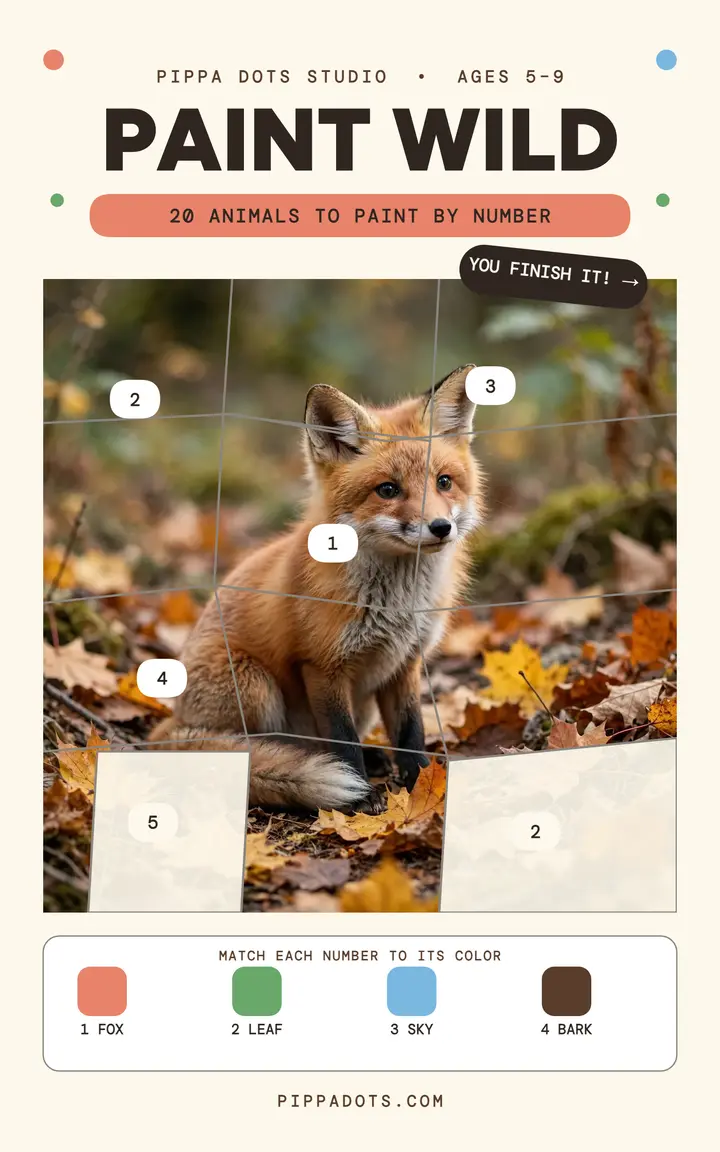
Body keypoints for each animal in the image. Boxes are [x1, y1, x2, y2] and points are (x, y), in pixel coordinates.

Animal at [151, 363, 484, 813]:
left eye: (444, 482)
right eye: (388, 489)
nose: (440, 527)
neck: (395, 604)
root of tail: (173, 723)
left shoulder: (405, 663)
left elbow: (410, 734)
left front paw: (422, 787)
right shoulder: (322, 666)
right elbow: (343, 742)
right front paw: (360, 799)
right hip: (256, 686)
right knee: (259, 747)